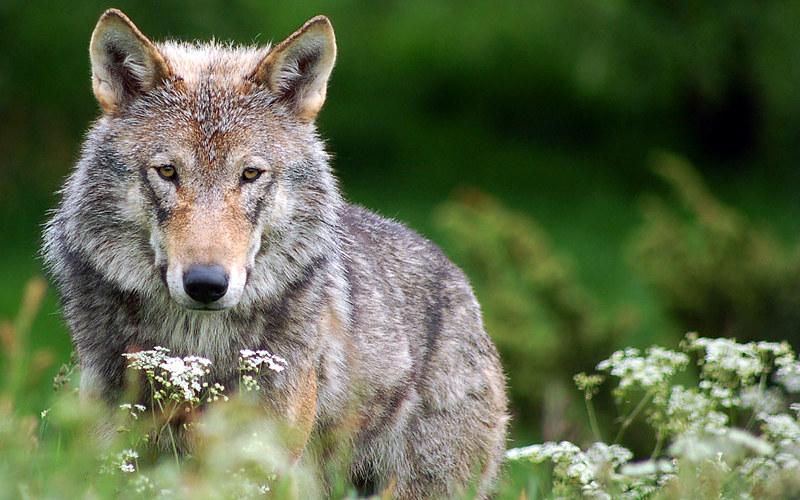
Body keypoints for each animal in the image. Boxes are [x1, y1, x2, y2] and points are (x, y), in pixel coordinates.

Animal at [42, 8, 506, 500]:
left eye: (250, 174)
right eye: (167, 172)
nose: (206, 284)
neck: (194, 349)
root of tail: (459, 281)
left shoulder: (257, 462)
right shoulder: (114, 456)